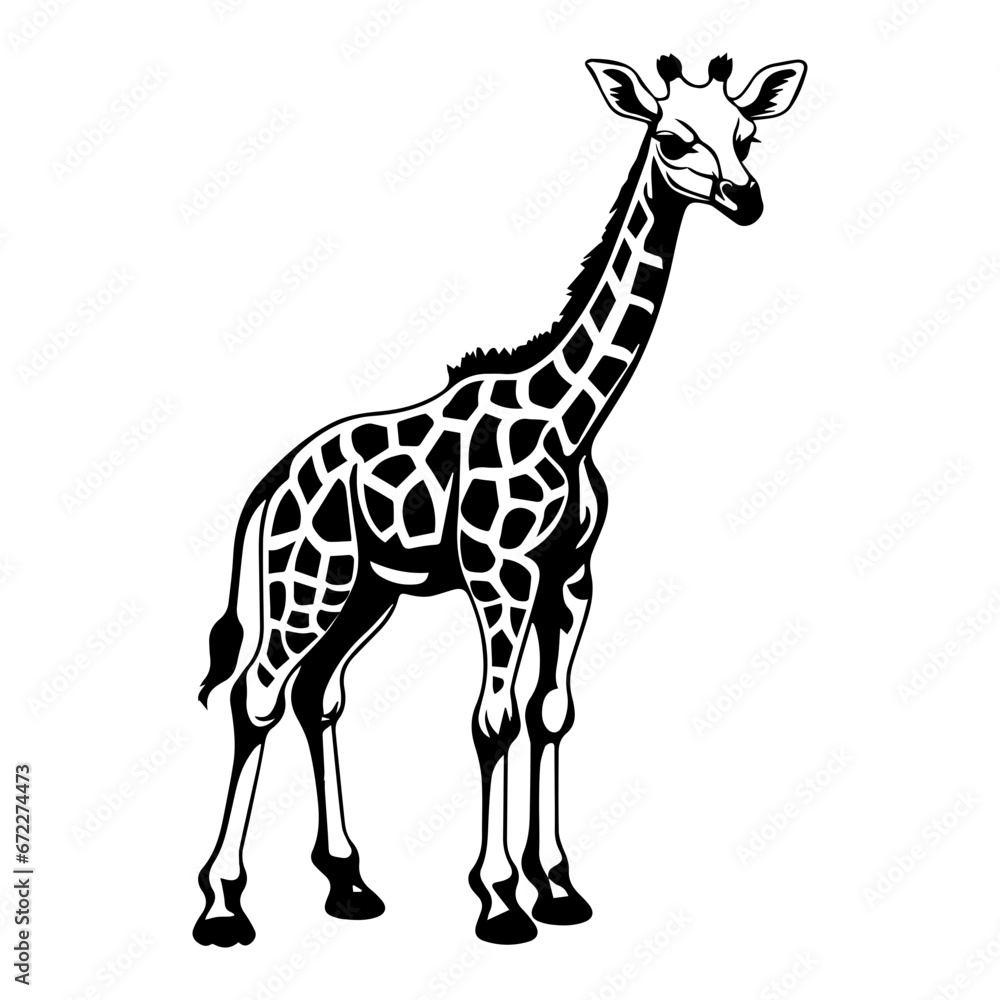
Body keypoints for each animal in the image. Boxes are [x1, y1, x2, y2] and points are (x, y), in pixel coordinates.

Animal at [193, 53, 807, 947]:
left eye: (748, 134)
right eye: (673, 137)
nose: (745, 197)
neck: (570, 416)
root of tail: (271, 485)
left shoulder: (571, 577)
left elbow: (551, 712)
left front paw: (557, 889)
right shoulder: (500, 574)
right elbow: (496, 719)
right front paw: (500, 901)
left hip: (369, 592)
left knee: (318, 695)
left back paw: (350, 883)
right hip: (305, 585)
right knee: (259, 695)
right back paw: (223, 905)